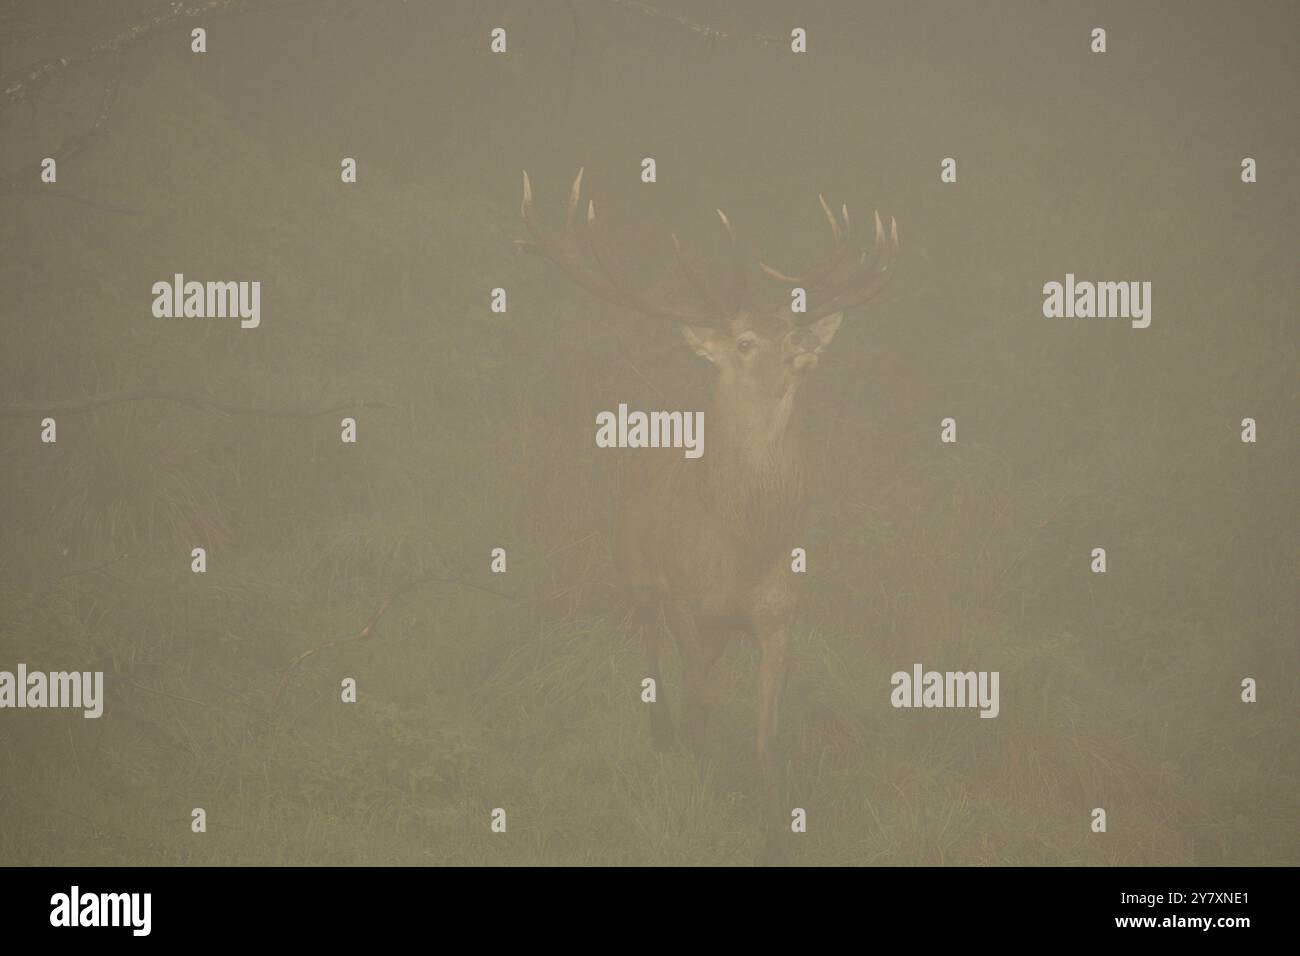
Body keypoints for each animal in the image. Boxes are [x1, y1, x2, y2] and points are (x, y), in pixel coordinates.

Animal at [516, 169, 898, 863]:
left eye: (792, 330)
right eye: (746, 342)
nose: (806, 347)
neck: (742, 547)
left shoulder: (780, 613)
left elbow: (765, 738)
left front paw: (773, 835)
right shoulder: (686, 600)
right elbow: (700, 714)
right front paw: (700, 802)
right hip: (632, 563)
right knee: (650, 651)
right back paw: (660, 732)